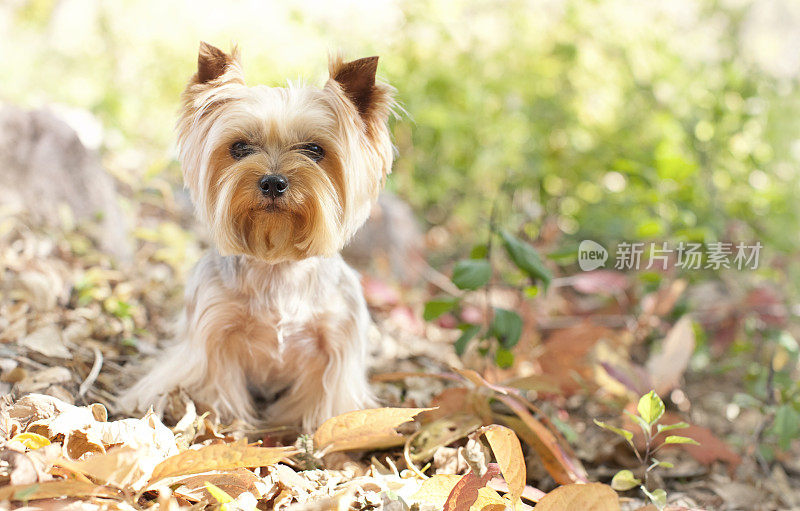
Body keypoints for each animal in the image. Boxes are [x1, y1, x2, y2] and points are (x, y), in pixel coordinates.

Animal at [122, 43, 396, 432]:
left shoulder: (336, 341)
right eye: (239, 148)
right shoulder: (213, 331)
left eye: (314, 150)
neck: (277, 265)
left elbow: (325, 399)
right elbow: (214, 383)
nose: (272, 182)